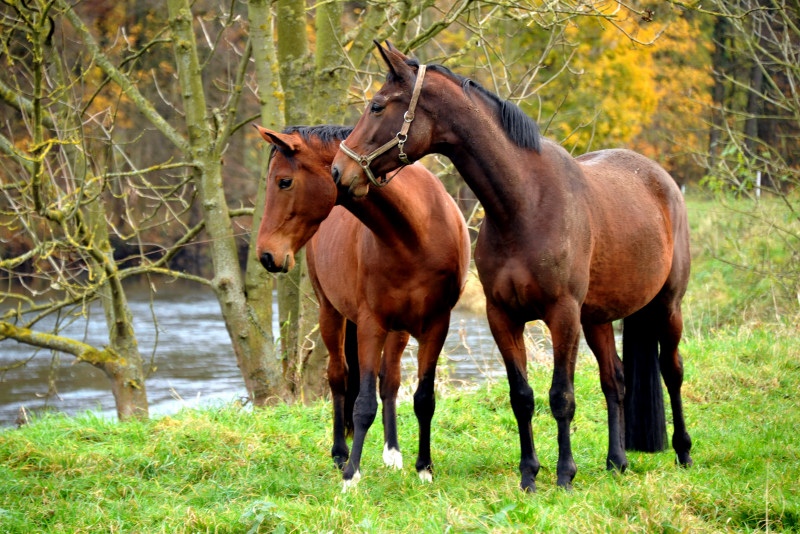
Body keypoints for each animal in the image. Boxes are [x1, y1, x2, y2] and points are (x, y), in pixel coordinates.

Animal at [255, 124, 468, 490]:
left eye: (284, 182)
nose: (267, 255)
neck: (414, 235)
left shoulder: (435, 325)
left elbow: (422, 398)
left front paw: (424, 468)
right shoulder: (371, 325)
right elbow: (363, 402)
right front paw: (351, 475)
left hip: (398, 331)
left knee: (390, 381)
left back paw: (392, 452)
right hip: (331, 314)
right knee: (339, 378)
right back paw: (340, 453)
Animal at [332, 43, 692, 494]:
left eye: (378, 106)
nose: (338, 171)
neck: (525, 203)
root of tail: (662, 178)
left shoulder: (562, 315)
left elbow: (561, 396)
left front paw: (565, 474)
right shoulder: (503, 316)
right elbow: (522, 396)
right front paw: (528, 475)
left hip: (666, 307)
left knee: (672, 371)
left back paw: (683, 452)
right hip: (597, 319)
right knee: (615, 381)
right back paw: (617, 461)